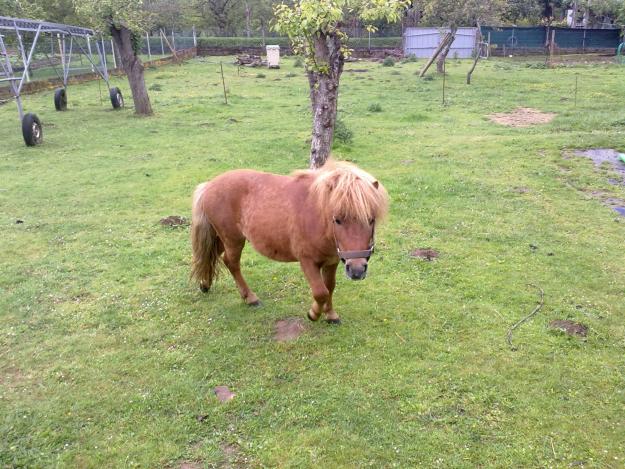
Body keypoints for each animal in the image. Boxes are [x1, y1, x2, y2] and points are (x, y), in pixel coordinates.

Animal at [190, 159, 388, 324]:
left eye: (371, 219)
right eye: (337, 220)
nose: (357, 271)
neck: (317, 217)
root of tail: (209, 185)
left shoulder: (331, 262)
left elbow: (330, 287)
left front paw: (330, 315)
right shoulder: (307, 262)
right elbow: (321, 292)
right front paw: (313, 313)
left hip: (223, 238)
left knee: (211, 255)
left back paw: (205, 283)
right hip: (233, 239)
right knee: (231, 263)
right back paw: (250, 298)